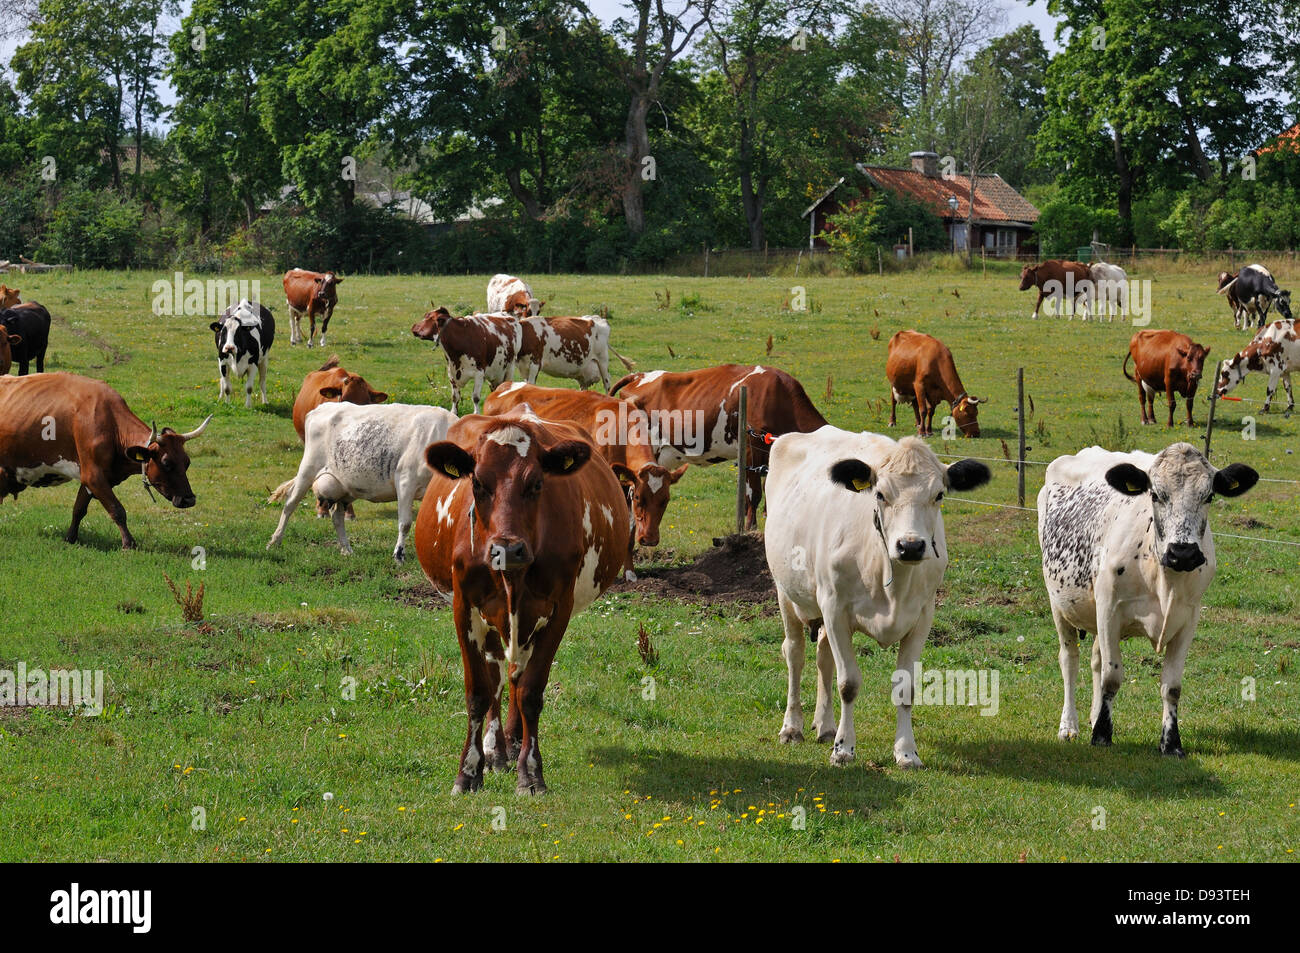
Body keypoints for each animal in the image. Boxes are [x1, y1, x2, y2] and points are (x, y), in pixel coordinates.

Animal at [0, 373, 212, 549]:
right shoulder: (93, 475)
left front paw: (70, 538)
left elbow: (79, 509)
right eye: (167, 463)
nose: (189, 499)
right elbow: (117, 510)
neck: (111, 423)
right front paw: (128, 544)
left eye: (187, 462)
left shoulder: (92, 477)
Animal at [267, 401, 456, 562]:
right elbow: (405, 523)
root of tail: (321, 407)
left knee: (337, 515)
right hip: (307, 470)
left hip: (344, 486)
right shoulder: (405, 481)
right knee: (290, 504)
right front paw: (399, 555)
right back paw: (275, 541)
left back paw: (346, 549)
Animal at [415, 409, 630, 794]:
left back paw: (513, 745)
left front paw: (530, 772)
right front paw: (469, 772)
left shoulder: (558, 610)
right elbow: (478, 691)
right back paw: (495, 750)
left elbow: (530, 691)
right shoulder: (464, 607)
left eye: (537, 484)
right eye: (477, 483)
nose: (507, 549)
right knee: (498, 676)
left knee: (515, 675)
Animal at [765, 428, 991, 767]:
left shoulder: (922, 616)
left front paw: (906, 752)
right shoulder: (835, 609)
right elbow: (848, 683)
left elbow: (906, 688)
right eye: (880, 494)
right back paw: (792, 727)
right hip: (786, 592)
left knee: (823, 657)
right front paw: (844, 748)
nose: (910, 546)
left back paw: (826, 725)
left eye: (939, 495)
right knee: (795, 653)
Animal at [1038, 444, 1258, 755]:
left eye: (1209, 496)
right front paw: (1102, 735)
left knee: (1095, 659)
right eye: (1155, 494)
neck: (1164, 578)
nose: (1183, 552)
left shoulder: (1189, 618)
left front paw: (1171, 742)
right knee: (1069, 659)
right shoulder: (1109, 610)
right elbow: (1111, 677)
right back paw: (1069, 726)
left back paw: (1093, 715)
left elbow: (1171, 686)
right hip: (1059, 603)